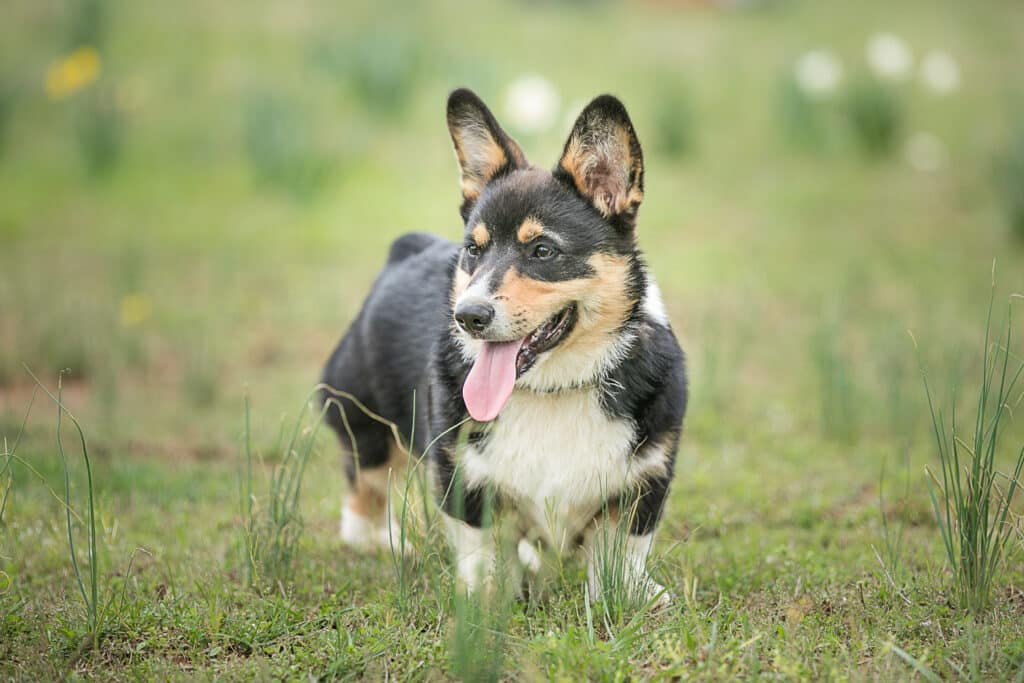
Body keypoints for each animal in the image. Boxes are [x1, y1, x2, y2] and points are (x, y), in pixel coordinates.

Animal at [319, 88, 688, 606]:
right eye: (474, 250)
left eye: (543, 251)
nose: (468, 316)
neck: (554, 390)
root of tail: (407, 248)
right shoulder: (463, 476)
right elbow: (484, 547)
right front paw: (484, 598)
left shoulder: (646, 477)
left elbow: (622, 552)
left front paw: (630, 595)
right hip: (364, 419)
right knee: (364, 487)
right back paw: (380, 540)